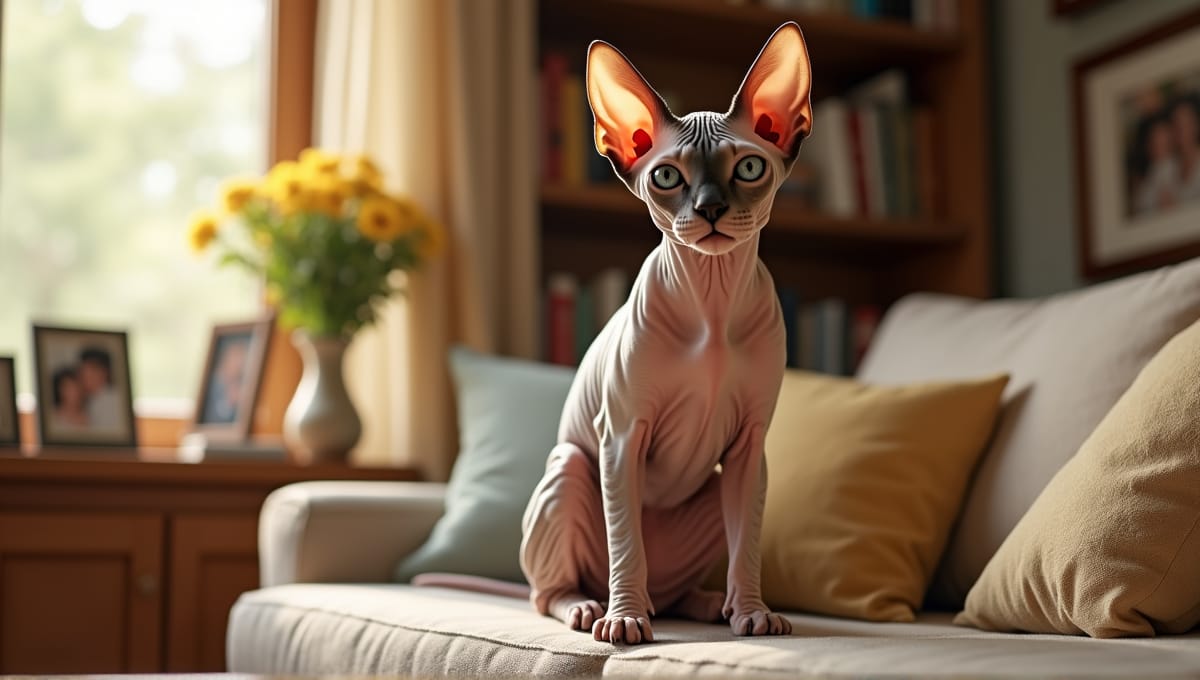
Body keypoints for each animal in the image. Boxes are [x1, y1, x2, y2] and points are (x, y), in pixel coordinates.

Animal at [520, 23, 811, 647]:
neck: (712, 305)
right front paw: (626, 620)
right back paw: (593, 607)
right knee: (550, 590)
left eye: (748, 169)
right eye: (667, 176)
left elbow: (747, 545)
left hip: (718, 483)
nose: (710, 208)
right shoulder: (622, 435)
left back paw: (711, 605)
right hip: (572, 466)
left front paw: (753, 614)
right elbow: (626, 541)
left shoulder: (750, 444)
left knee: (680, 587)